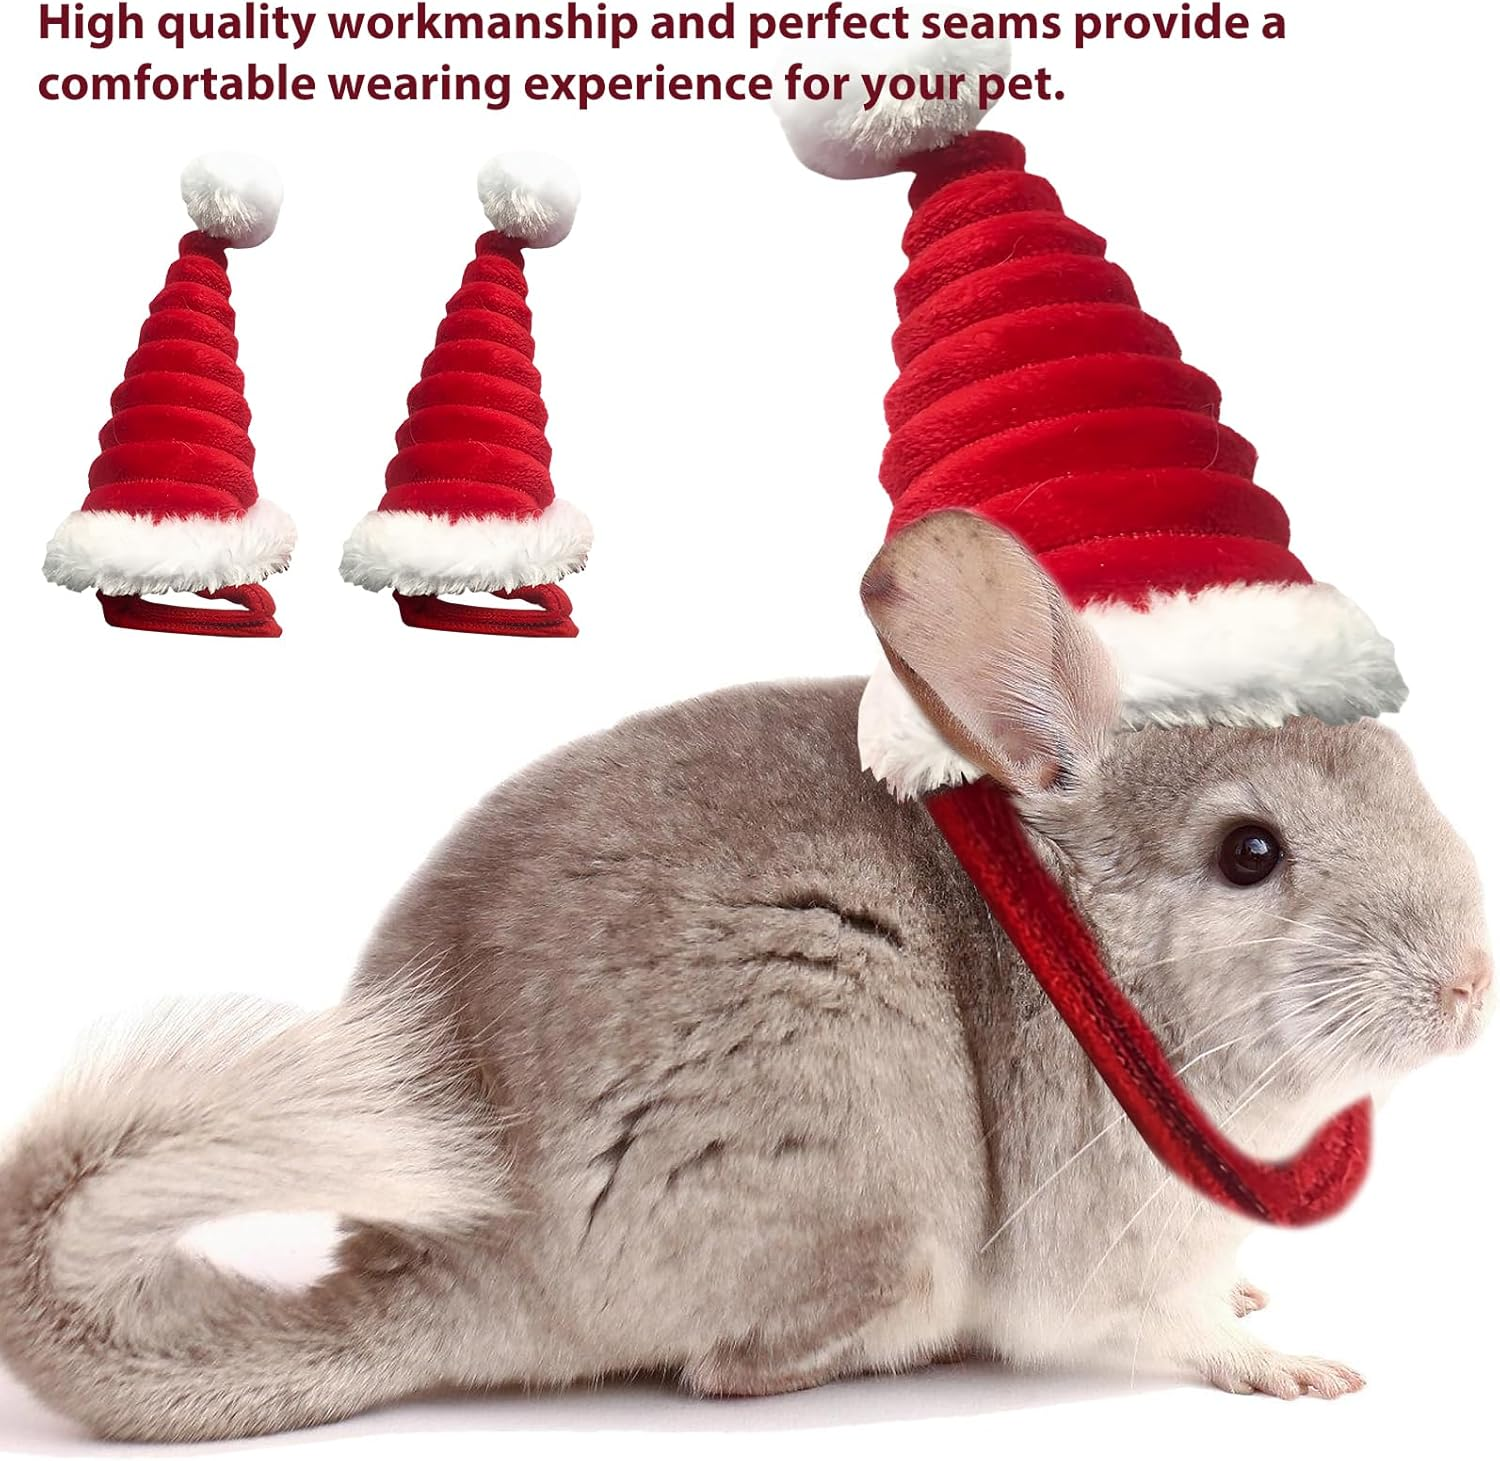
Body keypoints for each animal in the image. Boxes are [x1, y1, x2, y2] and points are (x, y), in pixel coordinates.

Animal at [0, 511, 1489, 1443]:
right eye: (1251, 852)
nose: (1473, 986)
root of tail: (458, 1259)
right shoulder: (1109, 1248)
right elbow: (1170, 1329)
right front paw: (1293, 1364)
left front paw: (1259, 1298)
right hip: (865, 1124)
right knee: (732, 1371)